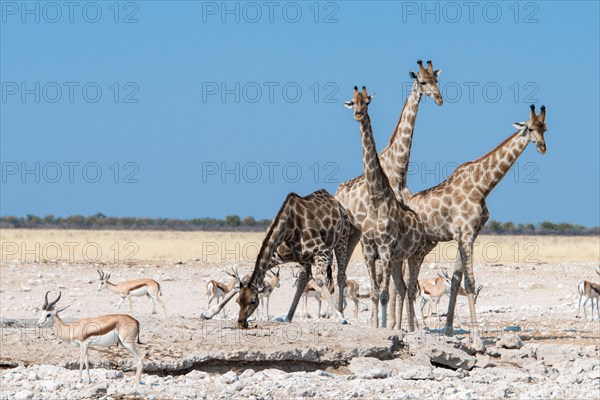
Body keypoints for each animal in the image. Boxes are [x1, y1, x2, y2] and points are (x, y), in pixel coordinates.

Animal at [406, 104, 552, 350]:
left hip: (426, 243)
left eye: (545, 128)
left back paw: (406, 327)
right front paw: (477, 340)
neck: (482, 186)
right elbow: (470, 283)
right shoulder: (465, 233)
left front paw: (449, 331)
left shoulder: (469, 235)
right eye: (530, 128)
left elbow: (456, 281)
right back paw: (409, 329)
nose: (542, 147)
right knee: (405, 282)